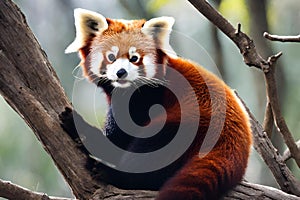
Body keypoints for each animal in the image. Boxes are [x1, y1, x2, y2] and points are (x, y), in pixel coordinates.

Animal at [65, 8, 253, 200]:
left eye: (134, 58)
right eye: (111, 57)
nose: (121, 72)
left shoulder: (145, 98)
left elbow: (119, 138)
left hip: (186, 124)